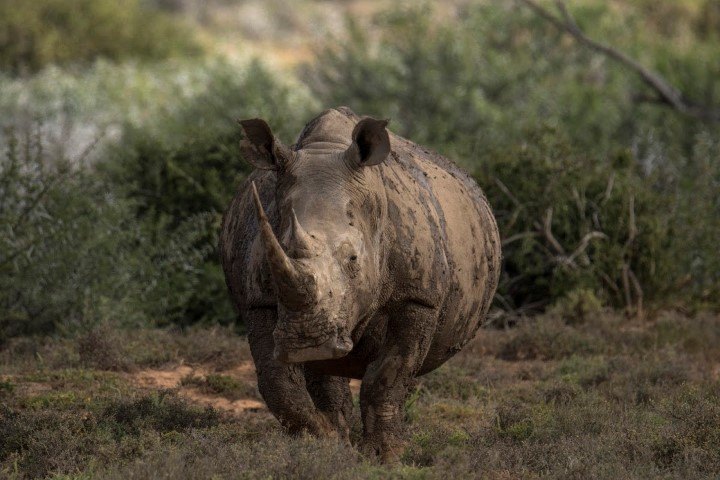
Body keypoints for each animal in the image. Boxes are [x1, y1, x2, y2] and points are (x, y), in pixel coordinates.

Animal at [219, 107, 500, 460]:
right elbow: (277, 380)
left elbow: (387, 377)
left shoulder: (418, 298)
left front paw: (385, 456)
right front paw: (321, 442)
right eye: (276, 258)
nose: (307, 343)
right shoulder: (259, 300)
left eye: (353, 259)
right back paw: (338, 439)